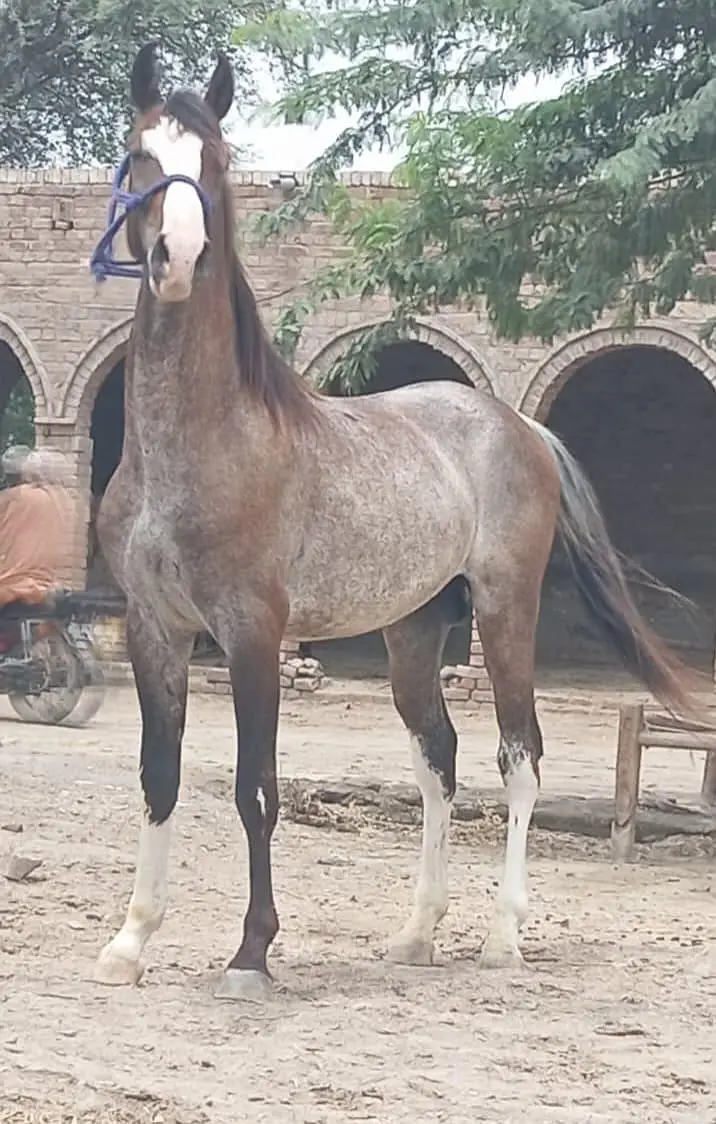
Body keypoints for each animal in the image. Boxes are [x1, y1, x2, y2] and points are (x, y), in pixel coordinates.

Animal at [89, 42, 705, 1001]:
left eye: (217, 161)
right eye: (141, 154)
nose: (178, 254)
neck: (203, 440)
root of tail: (517, 424)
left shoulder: (253, 634)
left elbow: (255, 787)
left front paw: (252, 952)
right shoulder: (156, 629)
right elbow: (160, 776)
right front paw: (130, 941)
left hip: (504, 613)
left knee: (519, 755)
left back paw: (502, 937)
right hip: (415, 633)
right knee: (437, 760)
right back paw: (418, 933)